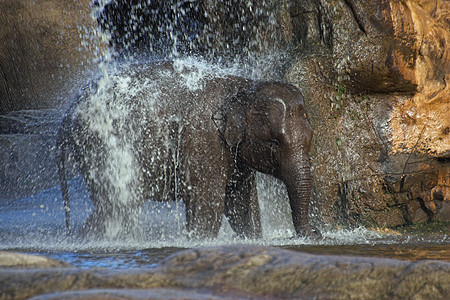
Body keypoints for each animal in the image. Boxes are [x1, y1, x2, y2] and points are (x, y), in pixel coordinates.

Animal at [58, 60, 322, 239]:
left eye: (311, 137)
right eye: (274, 142)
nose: (315, 232)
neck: (241, 87)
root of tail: (68, 114)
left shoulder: (233, 152)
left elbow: (240, 202)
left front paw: (254, 238)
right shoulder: (204, 139)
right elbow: (209, 202)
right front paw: (201, 242)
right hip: (101, 144)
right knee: (119, 204)